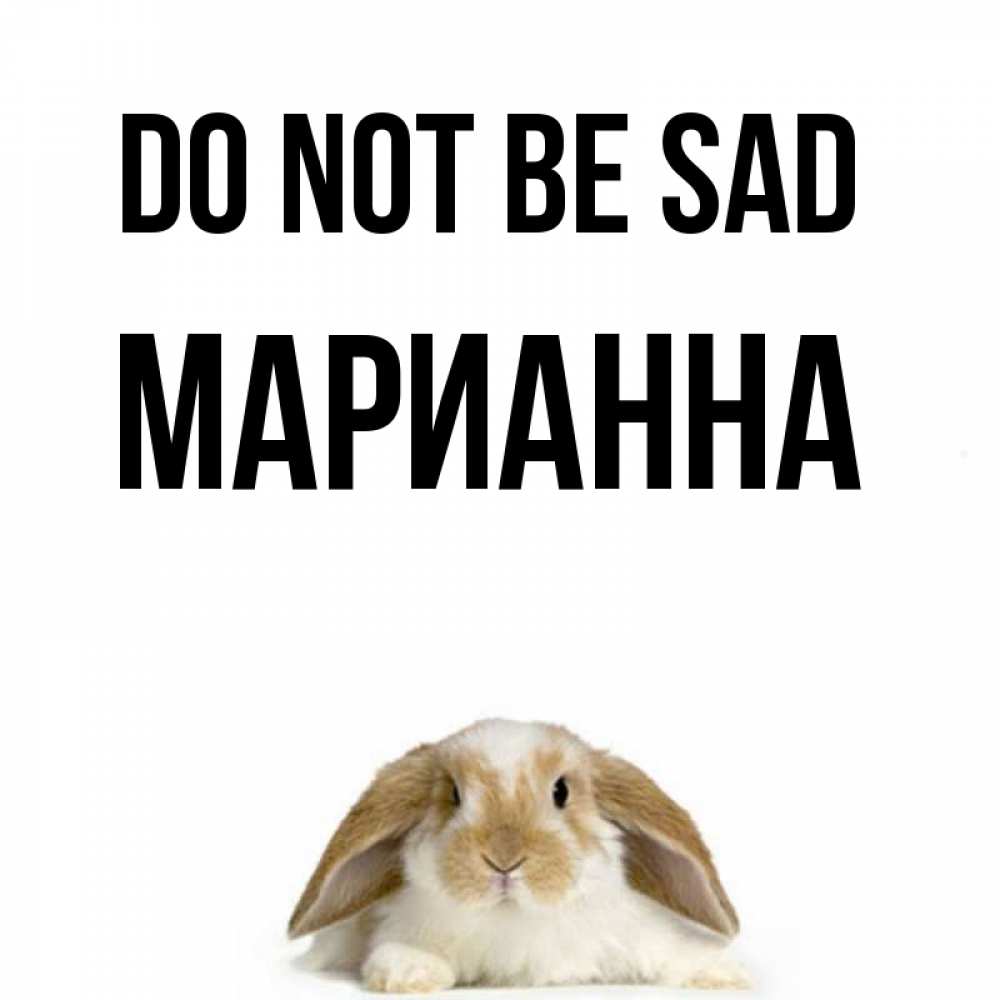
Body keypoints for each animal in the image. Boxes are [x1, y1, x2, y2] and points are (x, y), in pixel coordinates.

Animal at [288, 719, 750, 991]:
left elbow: (674, 950)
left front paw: (725, 973)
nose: (504, 859)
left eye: (561, 791)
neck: (514, 918)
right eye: (453, 795)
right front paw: (410, 973)